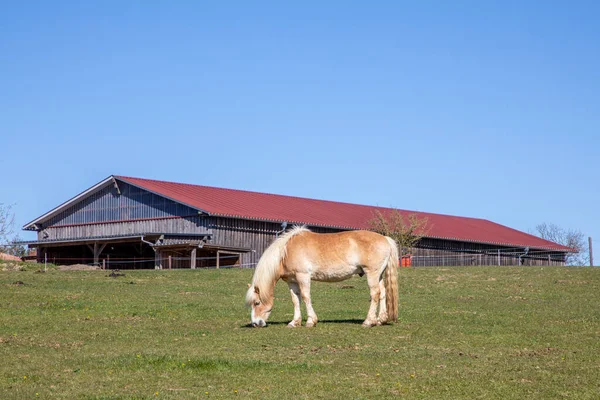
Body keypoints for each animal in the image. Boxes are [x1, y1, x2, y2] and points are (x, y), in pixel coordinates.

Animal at [244, 225, 398, 328]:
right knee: (383, 293)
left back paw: (368, 321)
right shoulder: (292, 281)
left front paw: (311, 321)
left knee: (375, 294)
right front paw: (294, 322)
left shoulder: (303, 276)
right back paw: (380, 320)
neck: (286, 251)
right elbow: (295, 300)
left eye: (256, 303)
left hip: (372, 273)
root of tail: (385, 238)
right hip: (378, 275)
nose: (255, 323)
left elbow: (305, 297)